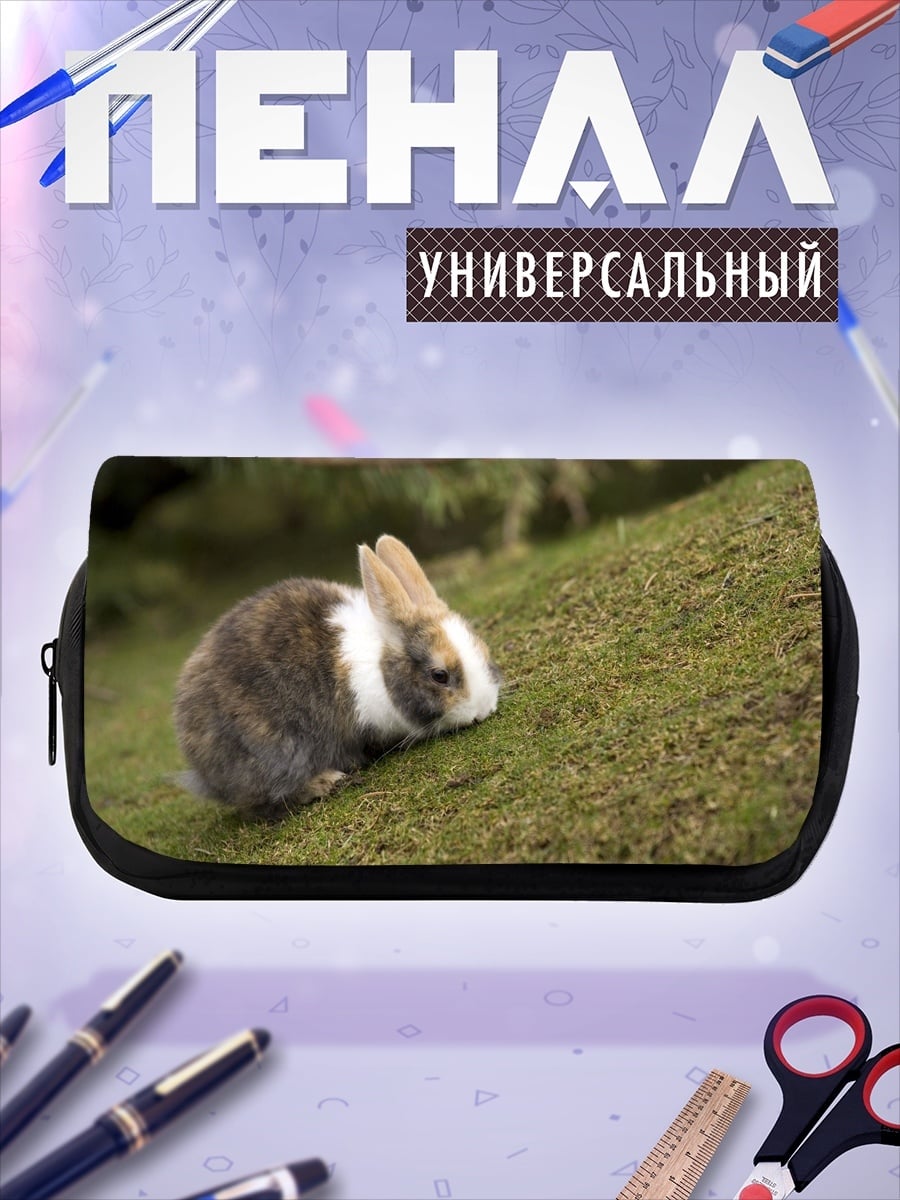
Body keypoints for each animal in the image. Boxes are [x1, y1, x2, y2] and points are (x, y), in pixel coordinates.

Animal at [174, 535, 501, 816]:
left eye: (483, 649)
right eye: (439, 675)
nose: (483, 710)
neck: (382, 666)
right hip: (275, 751)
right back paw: (326, 781)